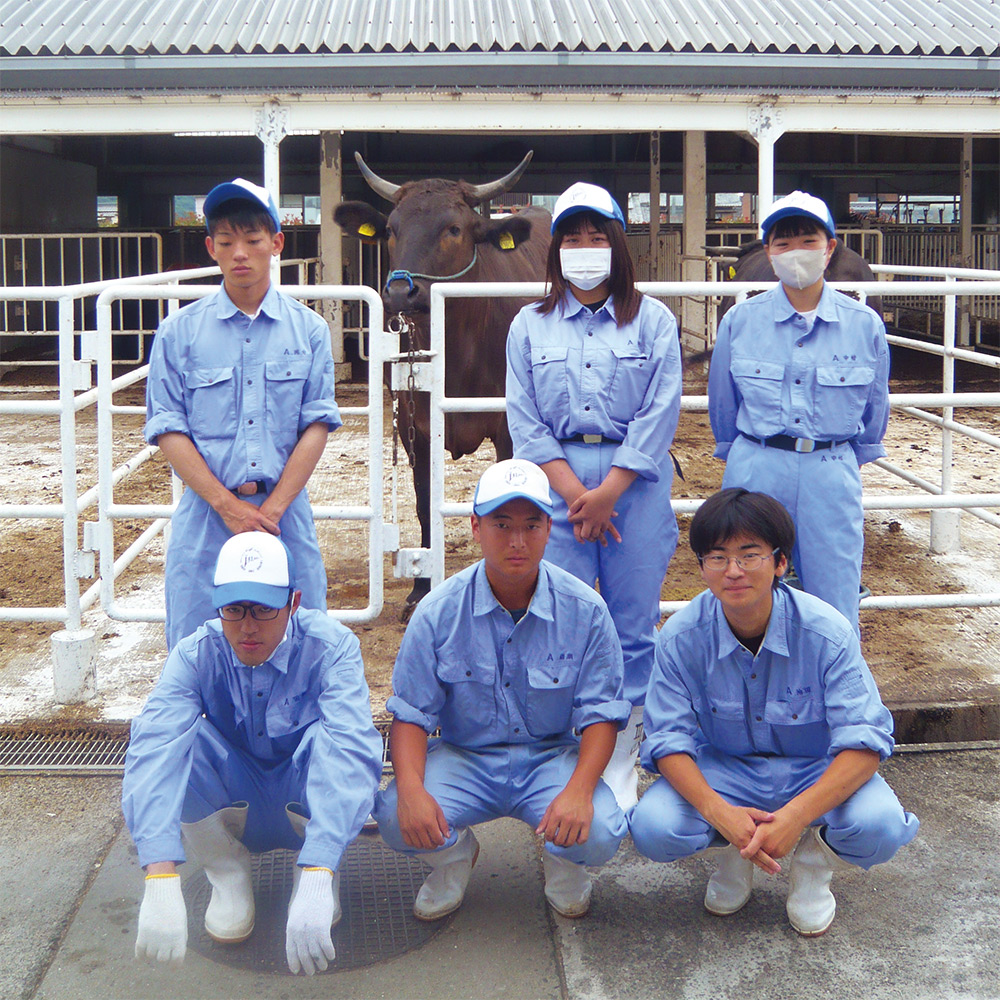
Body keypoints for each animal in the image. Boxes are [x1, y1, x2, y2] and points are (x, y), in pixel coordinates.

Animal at [338, 152, 556, 612]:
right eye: (391, 228)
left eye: (453, 228)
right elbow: (425, 502)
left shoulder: (508, 429)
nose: (399, 293)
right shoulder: (414, 430)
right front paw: (420, 587)